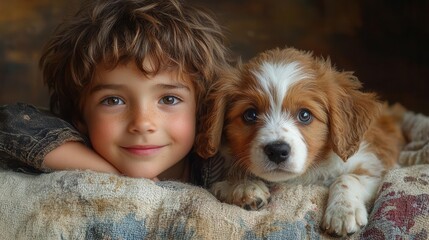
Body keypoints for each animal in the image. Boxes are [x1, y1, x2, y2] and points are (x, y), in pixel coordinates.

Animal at [196, 47, 402, 237]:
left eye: (304, 115)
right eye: (250, 114)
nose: (277, 151)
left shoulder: (375, 166)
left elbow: (348, 178)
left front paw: (342, 212)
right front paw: (243, 185)